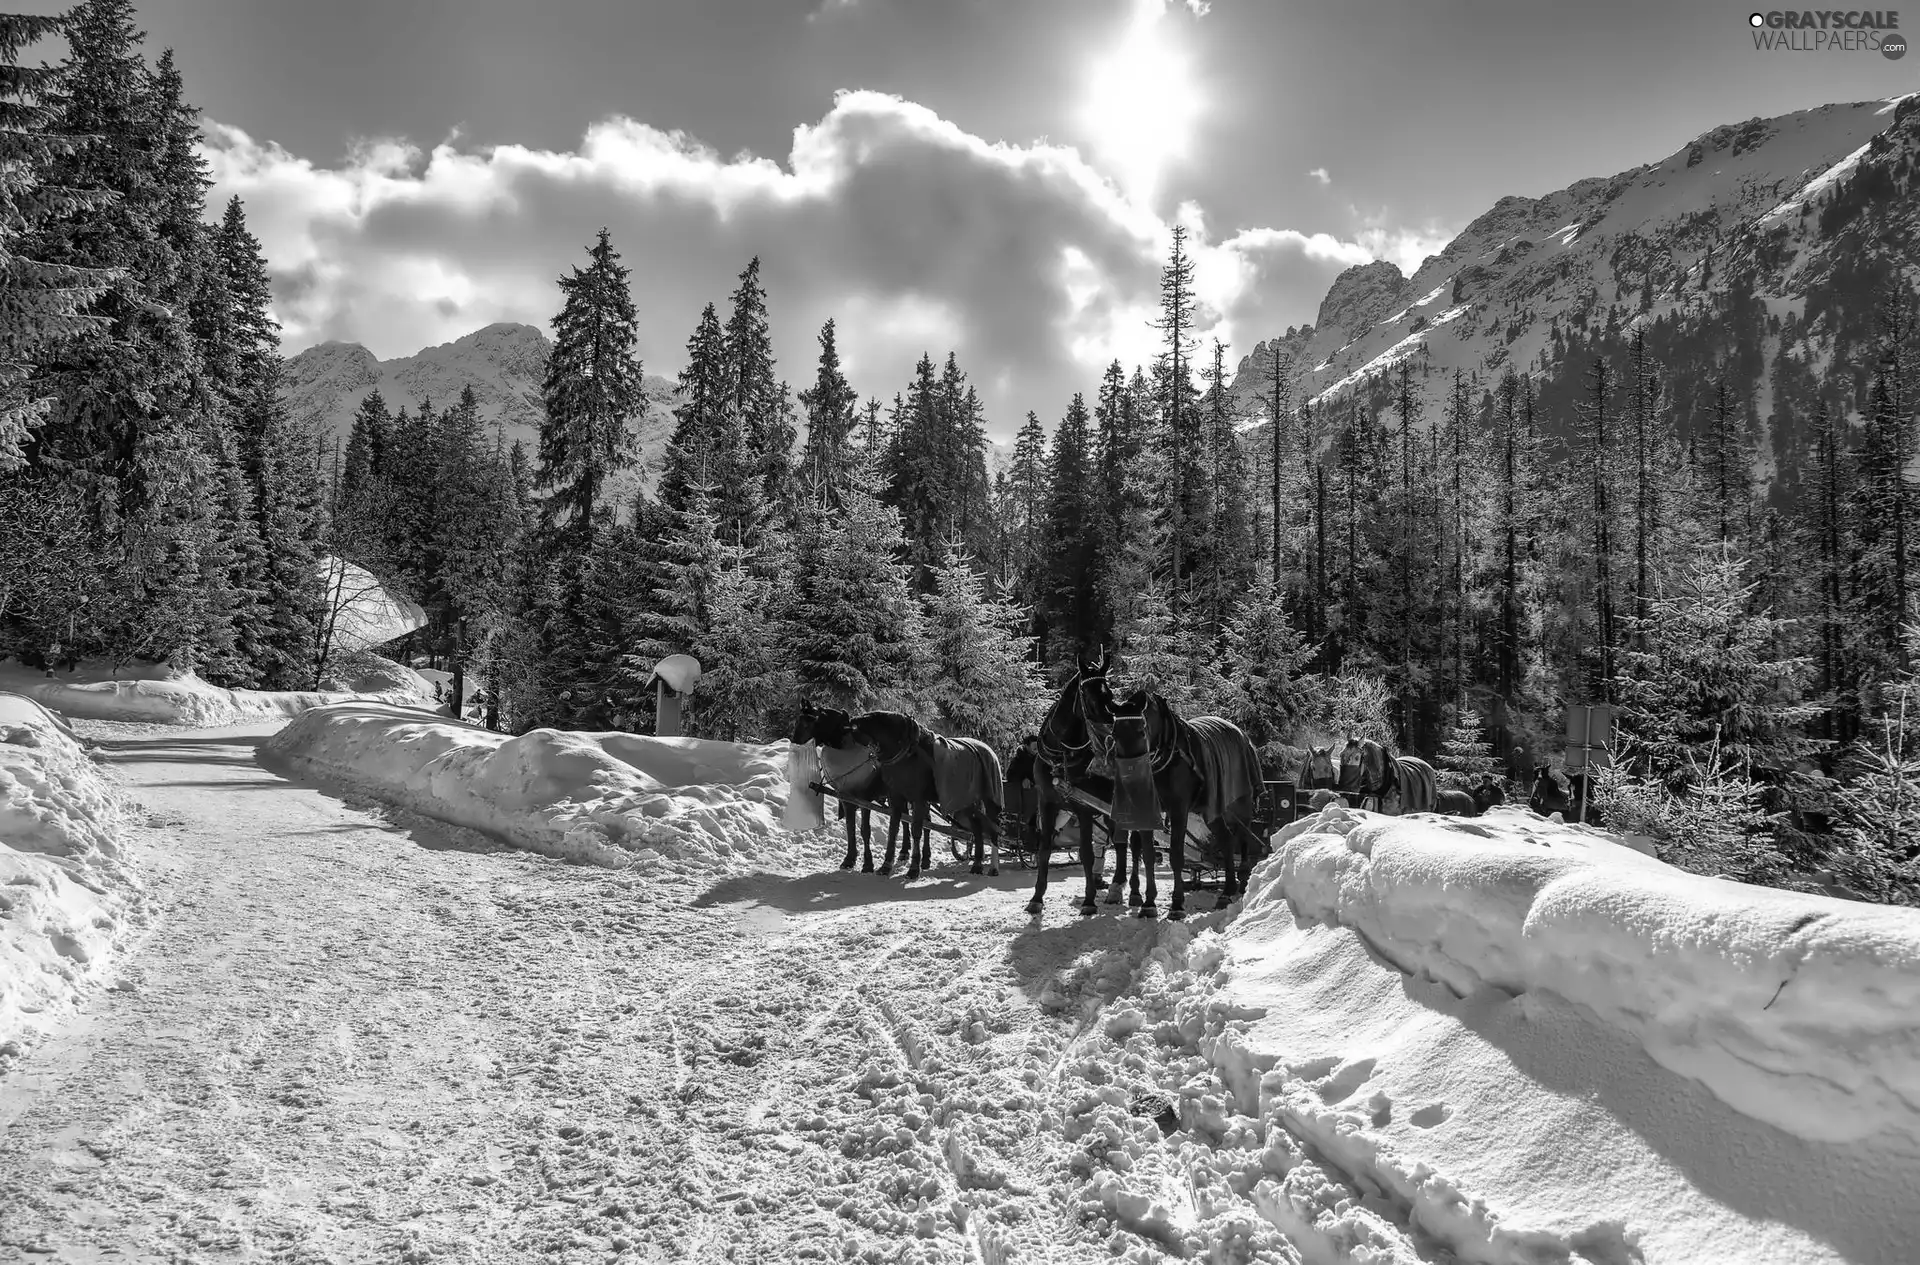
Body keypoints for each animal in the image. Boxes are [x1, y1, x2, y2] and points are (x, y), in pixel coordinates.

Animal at [787, 702, 883, 871]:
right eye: (798, 720)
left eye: (808, 722)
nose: (794, 743)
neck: (847, 748)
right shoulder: (846, 799)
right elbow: (850, 828)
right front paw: (849, 859)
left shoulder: (865, 800)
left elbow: (865, 830)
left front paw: (868, 863)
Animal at [852, 714, 1013, 879]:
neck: (907, 752)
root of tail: (989, 749)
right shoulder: (896, 797)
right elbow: (893, 830)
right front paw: (886, 866)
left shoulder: (918, 799)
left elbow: (916, 830)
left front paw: (914, 868)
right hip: (967, 802)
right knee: (977, 828)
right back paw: (977, 865)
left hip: (990, 798)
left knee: (994, 830)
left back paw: (993, 868)